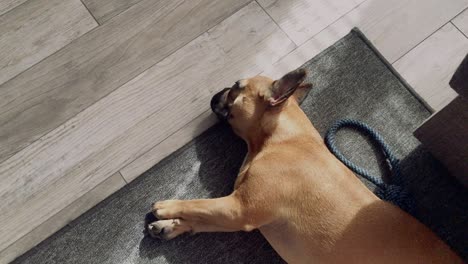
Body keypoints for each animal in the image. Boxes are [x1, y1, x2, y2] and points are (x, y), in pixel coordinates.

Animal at [148, 69, 462, 262]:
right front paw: (173, 226)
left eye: (236, 88)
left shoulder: (239, 209)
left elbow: (199, 204)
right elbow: (205, 217)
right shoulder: (237, 213)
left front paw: (168, 208)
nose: (218, 92)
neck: (282, 138)